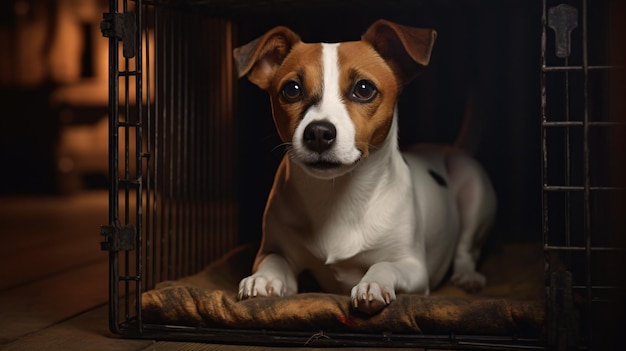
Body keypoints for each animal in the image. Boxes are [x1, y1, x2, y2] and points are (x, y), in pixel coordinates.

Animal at [232, 20, 494, 316]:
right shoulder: (274, 249)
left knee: (466, 249)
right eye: (292, 89)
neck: (337, 195)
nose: (319, 132)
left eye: (364, 88)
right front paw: (263, 279)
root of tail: (451, 148)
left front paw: (373, 282)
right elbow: (274, 261)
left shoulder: (414, 268)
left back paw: (467, 276)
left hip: (473, 189)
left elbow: (384, 264)